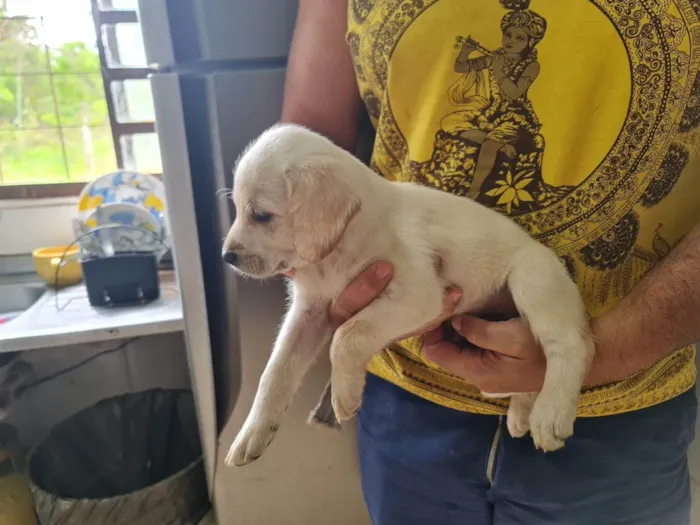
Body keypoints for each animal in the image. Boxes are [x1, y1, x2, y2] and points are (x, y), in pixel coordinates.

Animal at [221, 124, 592, 466]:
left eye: (261, 215)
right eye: (238, 208)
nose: (226, 256)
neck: (340, 249)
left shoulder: (418, 294)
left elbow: (347, 335)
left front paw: (344, 396)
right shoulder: (308, 311)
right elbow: (275, 371)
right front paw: (252, 434)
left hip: (531, 278)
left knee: (571, 347)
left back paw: (550, 416)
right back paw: (521, 415)